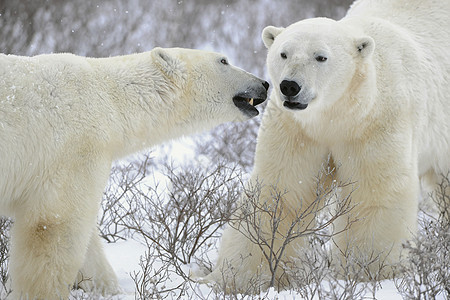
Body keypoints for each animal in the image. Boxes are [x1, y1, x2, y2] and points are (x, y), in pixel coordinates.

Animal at [0, 48, 268, 298]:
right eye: (223, 61)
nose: (264, 84)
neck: (109, 99)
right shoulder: (74, 150)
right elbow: (56, 226)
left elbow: (87, 243)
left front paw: (110, 289)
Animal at [208, 0, 450, 292]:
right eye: (284, 54)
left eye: (320, 57)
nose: (289, 86)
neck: (336, 114)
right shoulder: (298, 129)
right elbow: (282, 188)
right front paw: (240, 278)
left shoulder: (376, 121)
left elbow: (375, 191)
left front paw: (370, 272)